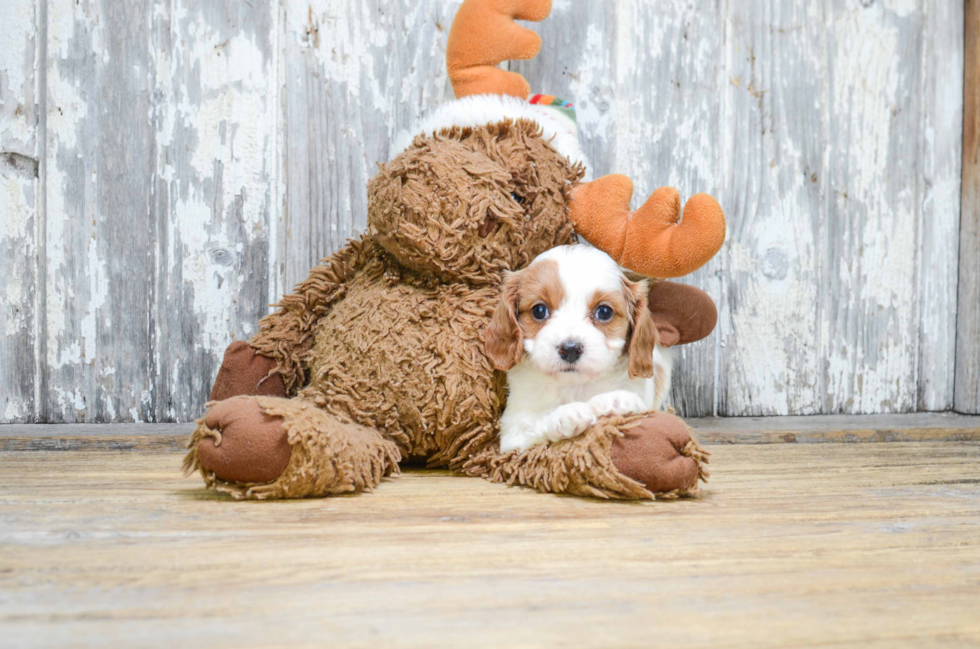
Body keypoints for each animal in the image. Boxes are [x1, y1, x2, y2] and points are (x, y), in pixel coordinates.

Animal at [484, 246, 672, 454]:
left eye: (604, 312)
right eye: (539, 311)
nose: (570, 349)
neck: (574, 385)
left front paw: (616, 400)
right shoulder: (511, 436)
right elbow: (532, 423)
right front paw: (565, 414)